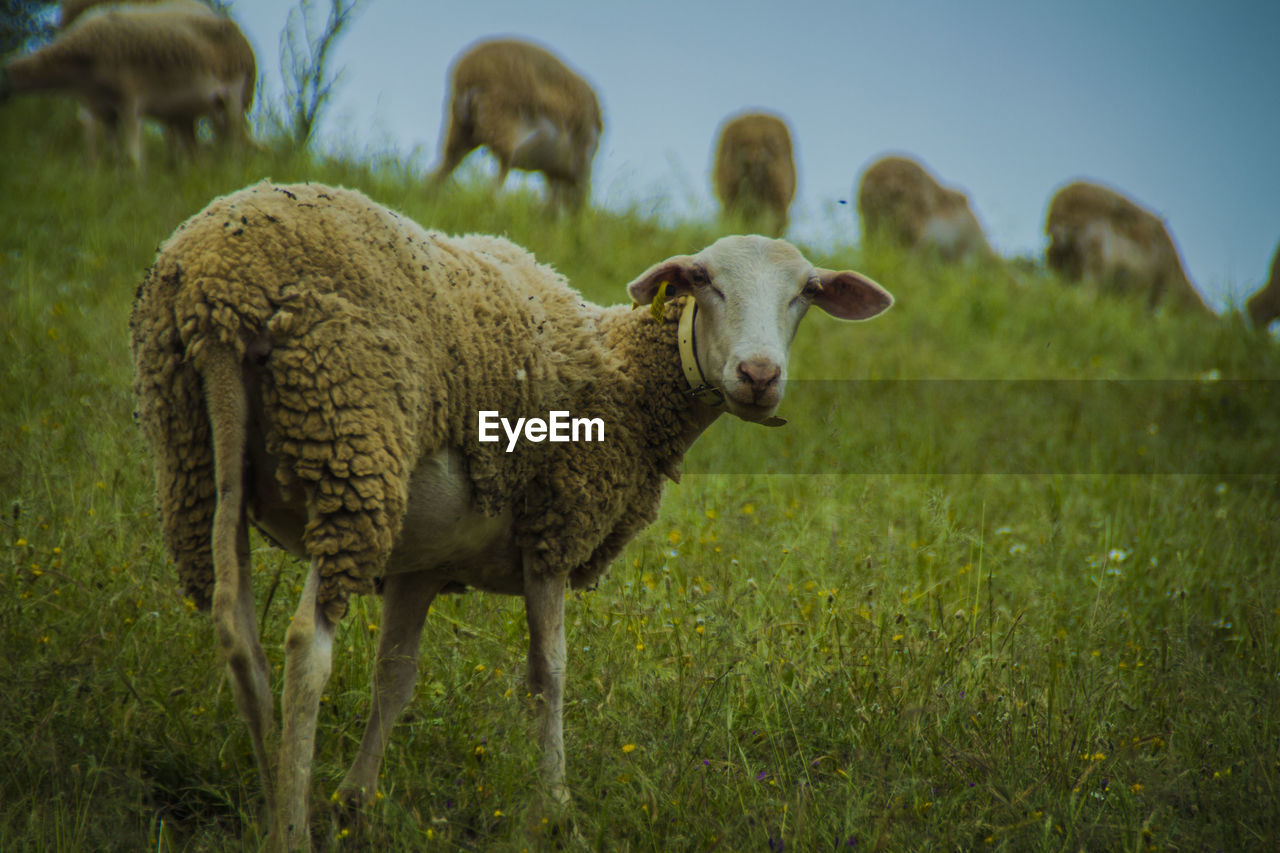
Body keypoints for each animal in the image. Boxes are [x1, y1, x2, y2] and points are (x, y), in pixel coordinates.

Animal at [1, 0, 257, 169]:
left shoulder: (129, 99)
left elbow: (134, 157)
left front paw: (139, 193)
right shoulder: (104, 111)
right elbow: (113, 155)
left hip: (233, 95)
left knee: (236, 144)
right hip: (198, 109)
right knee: (203, 148)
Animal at [127, 179, 890, 845]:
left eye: (805, 294)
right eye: (705, 281)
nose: (759, 375)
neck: (627, 382)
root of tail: (219, 288)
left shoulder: (421, 565)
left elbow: (393, 679)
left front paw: (355, 805)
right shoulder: (555, 529)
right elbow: (548, 674)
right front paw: (555, 812)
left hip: (195, 451)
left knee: (238, 632)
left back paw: (270, 797)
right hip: (354, 450)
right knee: (303, 646)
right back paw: (290, 827)